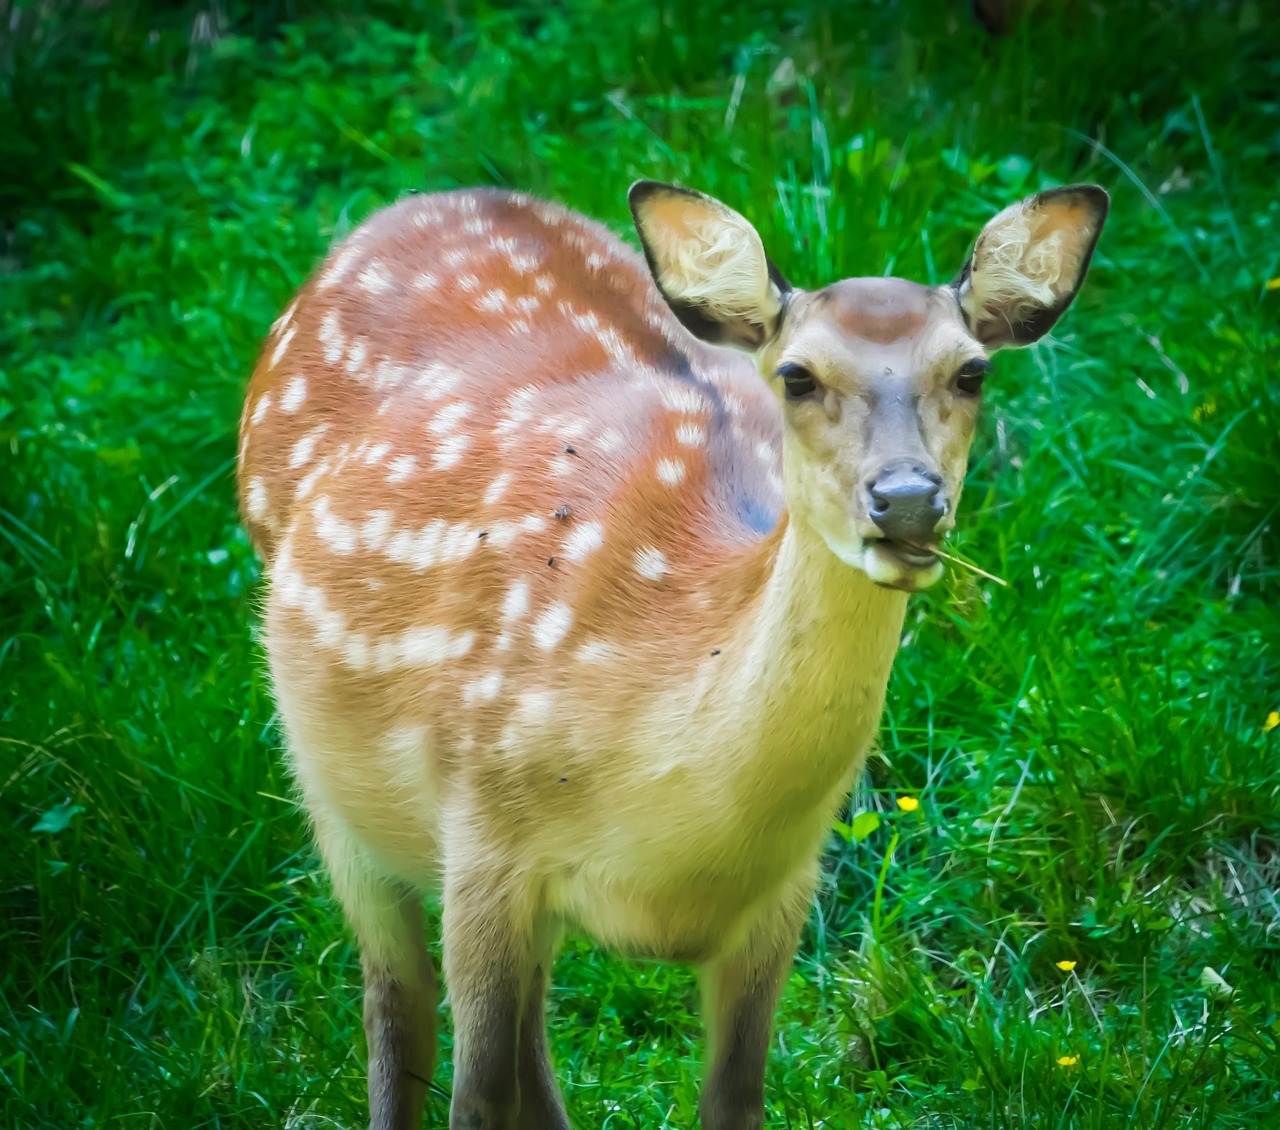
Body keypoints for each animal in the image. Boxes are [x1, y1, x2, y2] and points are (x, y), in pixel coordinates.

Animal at [236, 176, 1107, 1129]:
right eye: (798, 375)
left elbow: (732, 1099)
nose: (909, 499)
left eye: (971, 371)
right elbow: (472, 1097)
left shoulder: (785, 892)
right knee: (397, 1005)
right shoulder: (482, 832)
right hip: (332, 792)